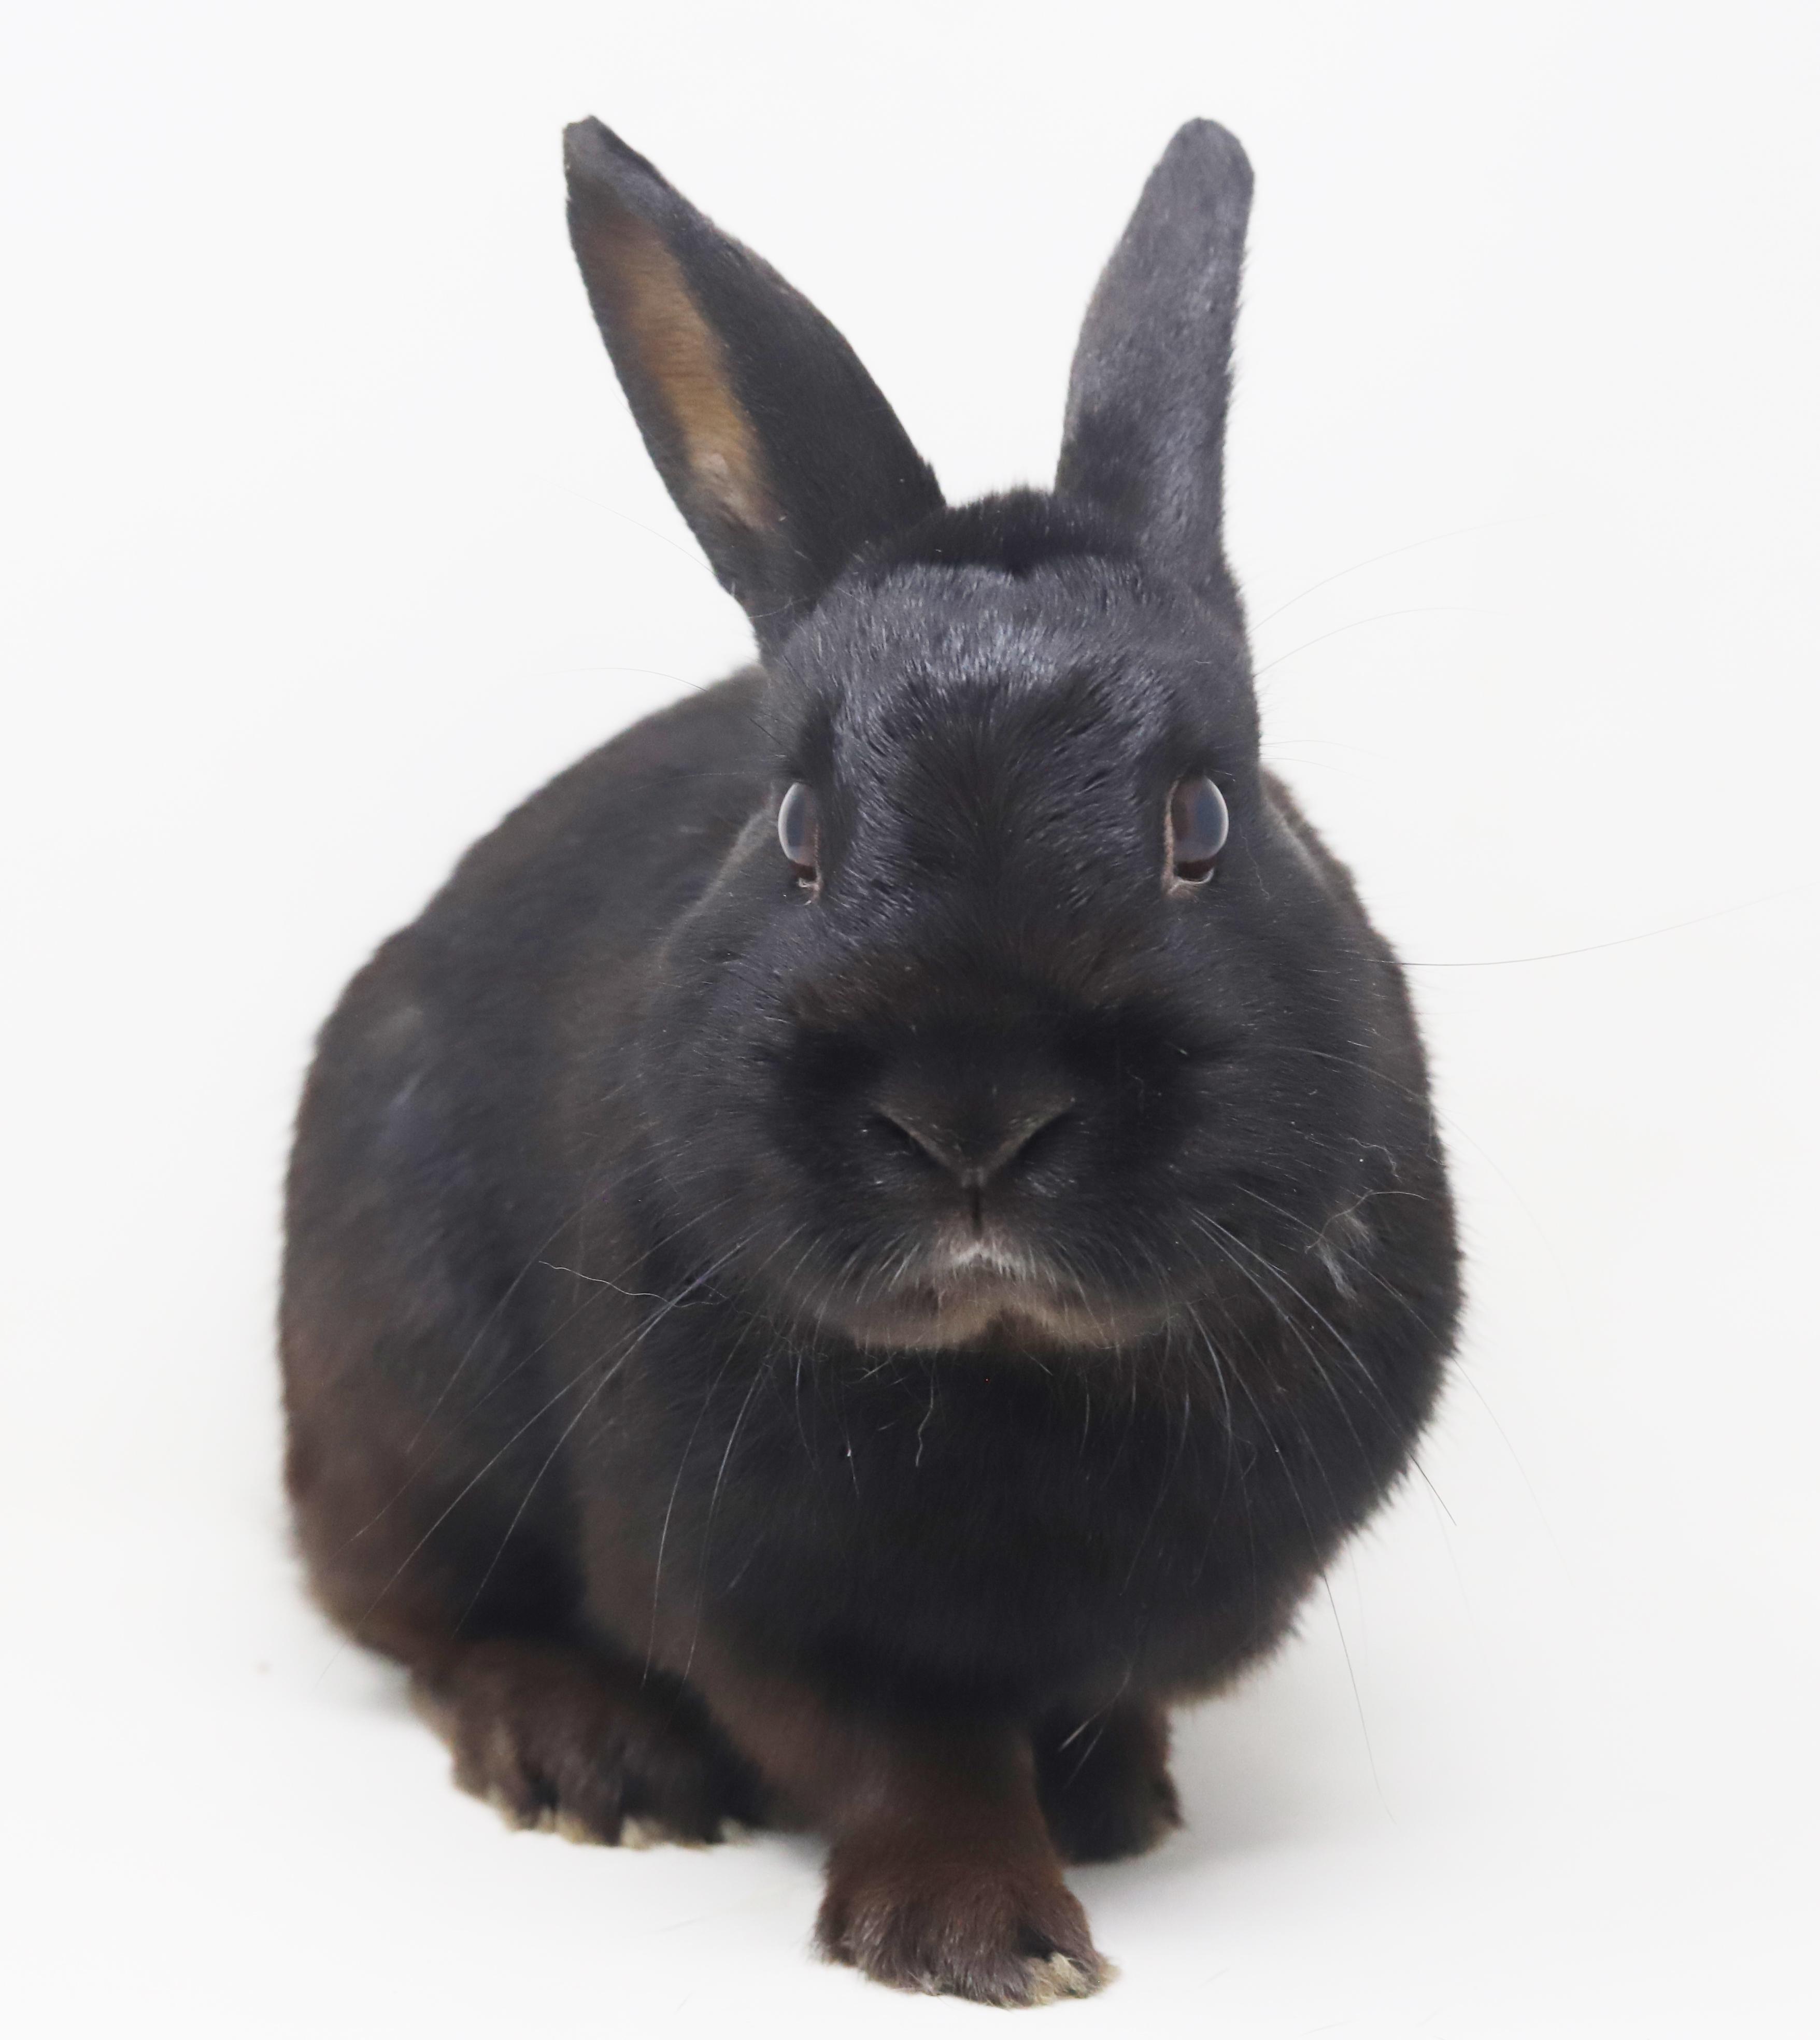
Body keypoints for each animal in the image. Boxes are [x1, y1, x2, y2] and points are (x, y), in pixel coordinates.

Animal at [280, 116, 1461, 2006]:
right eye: (797, 832)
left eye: (1205, 822)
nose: (973, 1121)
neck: (1011, 1368)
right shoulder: (761, 1598)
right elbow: (908, 1756)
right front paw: (984, 1936)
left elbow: (1097, 1702)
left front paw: (1115, 1805)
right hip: (402, 1394)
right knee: (425, 1616)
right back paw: (590, 1760)